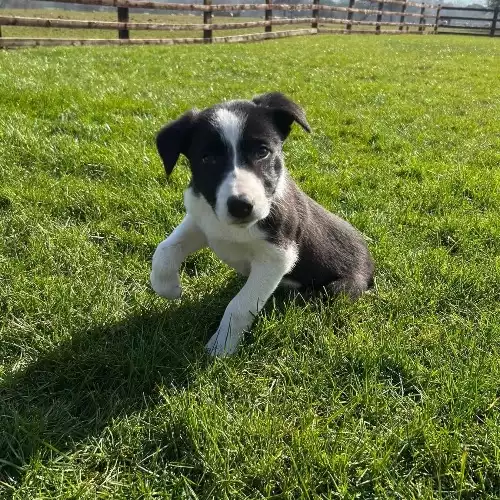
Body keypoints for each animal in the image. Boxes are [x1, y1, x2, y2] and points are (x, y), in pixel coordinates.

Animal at [150, 93, 374, 356]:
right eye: (208, 158)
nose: (240, 206)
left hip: (339, 288)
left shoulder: (277, 256)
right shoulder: (201, 220)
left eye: (262, 152)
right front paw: (168, 287)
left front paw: (221, 346)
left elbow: (238, 305)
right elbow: (165, 249)